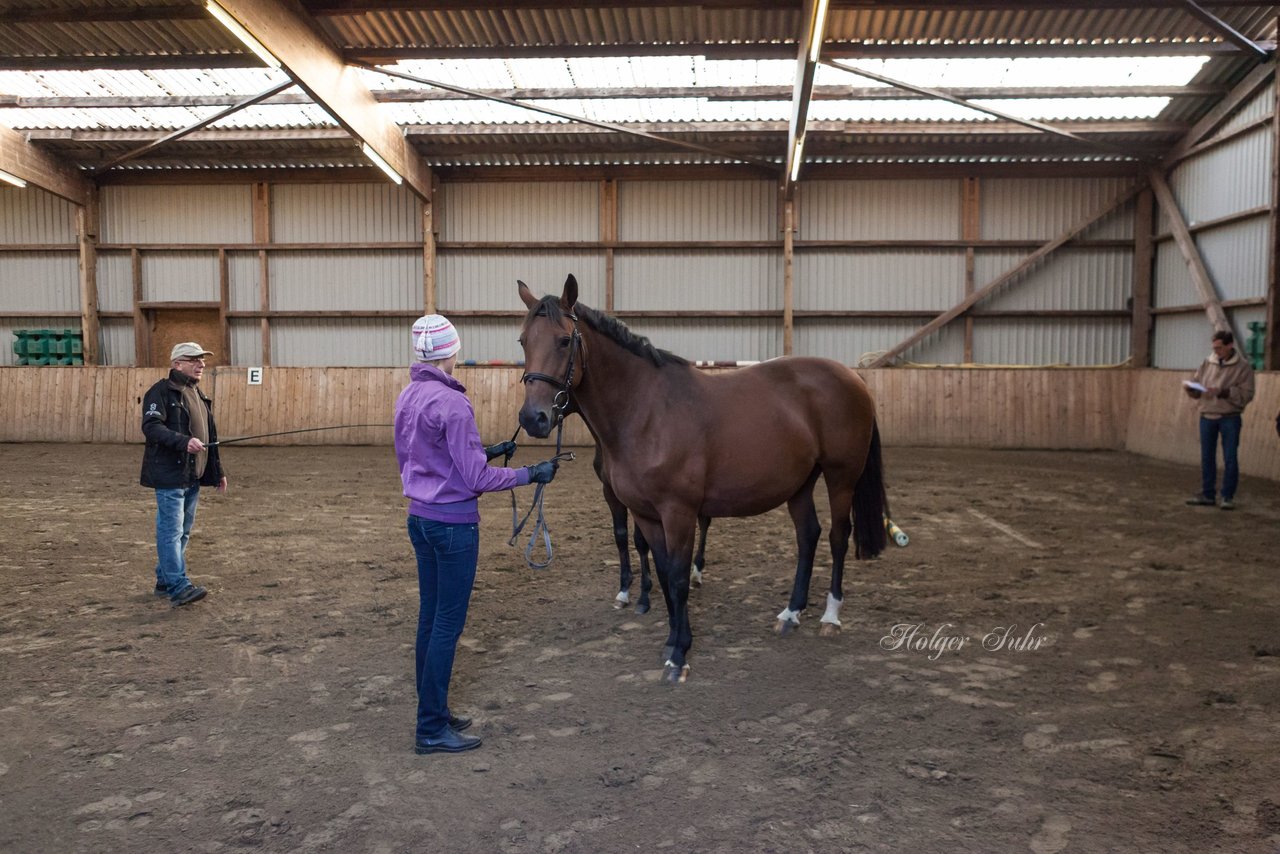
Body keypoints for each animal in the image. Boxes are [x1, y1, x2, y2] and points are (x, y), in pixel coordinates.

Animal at [514, 277, 885, 686]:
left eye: (565, 340)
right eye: (523, 341)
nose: (533, 418)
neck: (646, 412)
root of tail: (853, 378)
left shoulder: (679, 513)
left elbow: (678, 578)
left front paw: (679, 656)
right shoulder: (646, 514)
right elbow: (662, 572)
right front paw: (670, 641)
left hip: (841, 476)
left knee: (838, 536)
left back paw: (830, 616)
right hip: (800, 483)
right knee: (808, 535)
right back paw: (791, 614)